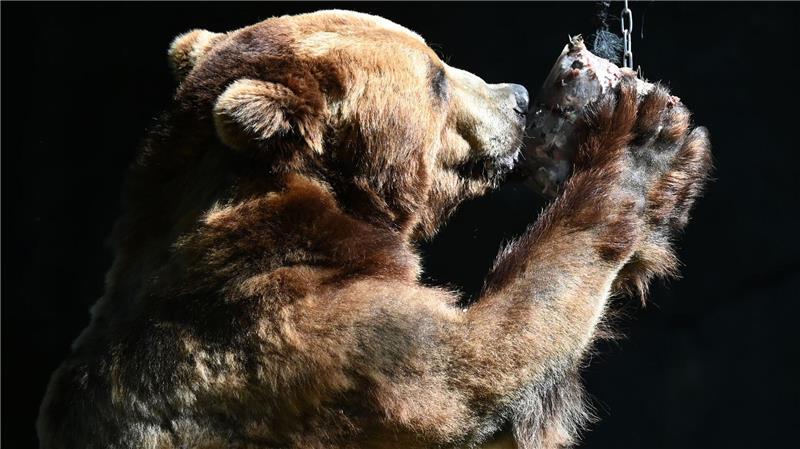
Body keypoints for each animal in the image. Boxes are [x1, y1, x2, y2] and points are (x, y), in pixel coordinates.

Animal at [37, 9, 711, 449]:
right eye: (436, 76)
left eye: (439, 59)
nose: (519, 96)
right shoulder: (299, 342)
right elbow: (479, 370)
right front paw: (642, 136)